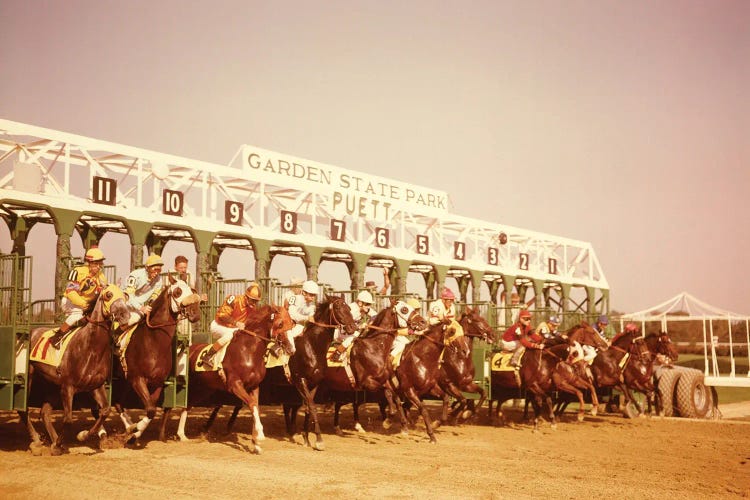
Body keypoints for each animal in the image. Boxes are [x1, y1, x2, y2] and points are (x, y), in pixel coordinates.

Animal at [21, 286, 131, 454]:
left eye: (125, 296)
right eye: (108, 295)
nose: (126, 316)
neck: (91, 348)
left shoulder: (95, 386)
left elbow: (105, 410)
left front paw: (82, 435)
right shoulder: (68, 387)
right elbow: (68, 420)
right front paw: (58, 444)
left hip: (52, 384)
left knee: (44, 412)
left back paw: (53, 441)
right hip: (31, 377)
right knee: (24, 410)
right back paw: (37, 441)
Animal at [112, 276, 203, 444]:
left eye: (192, 290)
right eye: (177, 291)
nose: (195, 313)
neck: (153, 342)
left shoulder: (157, 382)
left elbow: (151, 409)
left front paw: (135, 433)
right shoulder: (138, 379)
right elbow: (150, 409)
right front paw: (135, 430)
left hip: (124, 380)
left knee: (118, 402)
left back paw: (129, 426)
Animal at [175, 304, 296, 454]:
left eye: (292, 323)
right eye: (280, 324)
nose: (292, 349)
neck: (249, 351)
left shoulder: (254, 386)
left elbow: (255, 407)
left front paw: (256, 444)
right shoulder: (235, 385)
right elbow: (252, 404)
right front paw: (260, 434)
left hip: (202, 389)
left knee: (187, 405)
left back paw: (181, 434)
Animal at [286, 294, 360, 452]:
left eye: (349, 308)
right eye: (337, 307)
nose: (353, 327)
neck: (312, 347)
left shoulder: (315, 382)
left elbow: (308, 407)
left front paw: (306, 437)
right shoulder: (300, 380)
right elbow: (312, 406)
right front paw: (319, 440)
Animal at [324, 298, 428, 436]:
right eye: (404, 309)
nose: (423, 322)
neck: (375, 348)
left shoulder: (385, 379)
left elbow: (395, 396)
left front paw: (401, 424)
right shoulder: (367, 383)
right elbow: (388, 393)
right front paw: (389, 418)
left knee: (338, 403)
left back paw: (338, 427)